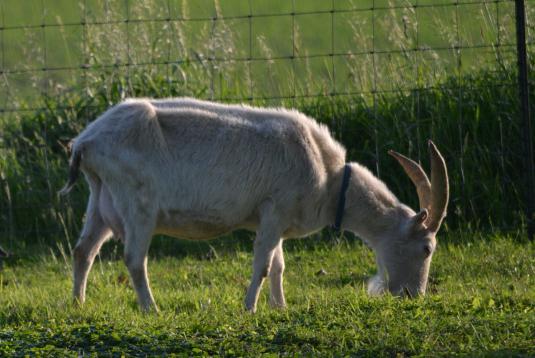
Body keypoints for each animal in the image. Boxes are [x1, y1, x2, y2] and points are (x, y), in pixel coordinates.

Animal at [60, 96, 450, 312]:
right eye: (427, 248)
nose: (413, 296)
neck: (329, 177)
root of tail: (85, 142)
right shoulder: (275, 209)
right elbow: (262, 265)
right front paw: (250, 309)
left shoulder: (274, 219)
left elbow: (278, 265)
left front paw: (280, 307)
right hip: (136, 203)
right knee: (133, 259)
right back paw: (151, 309)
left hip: (100, 199)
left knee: (83, 251)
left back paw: (79, 304)